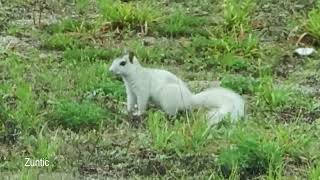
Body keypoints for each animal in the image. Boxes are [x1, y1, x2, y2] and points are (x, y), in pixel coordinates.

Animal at [108, 51, 245, 125]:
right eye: (114, 60)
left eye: (123, 63)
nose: (110, 70)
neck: (133, 75)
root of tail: (189, 100)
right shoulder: (130, 92)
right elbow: (130, 102)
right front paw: (127, 111)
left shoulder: (142, 89)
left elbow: (142, 102)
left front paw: (138, 113)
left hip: (168, 98)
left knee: (173, 113)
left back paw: (162, 113)